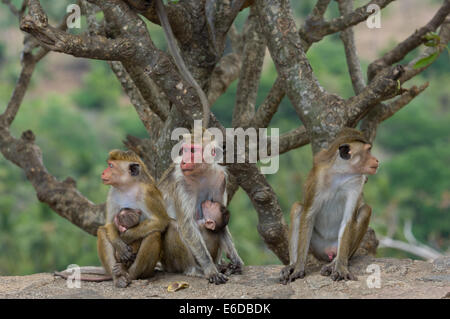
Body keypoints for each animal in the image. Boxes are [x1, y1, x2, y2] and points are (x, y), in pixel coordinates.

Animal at [97, 149, 170, 288]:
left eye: (111, 166)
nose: (103, 172)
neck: (128, 187)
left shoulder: (148, 194)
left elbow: (161, 221)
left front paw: (126, 236)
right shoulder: (112, 192)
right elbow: (109, 224)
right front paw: (119, 243)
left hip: (148, 270)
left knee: (153, 234)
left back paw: (130, 274)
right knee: (102, 231)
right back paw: (118, 277)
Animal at [157, 132, 243, 284]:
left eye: (192, 151)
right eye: (184, 150)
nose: (184, 161)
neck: (200, 173)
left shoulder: (220, 179)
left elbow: (222, 224)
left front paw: (236, 260)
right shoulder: (180, 182)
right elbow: (187, 224)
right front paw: (210, 270)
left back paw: (219, 265)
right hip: (169, 262)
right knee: (173, 225)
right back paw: (193, 269)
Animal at [282, 129, 380, 284]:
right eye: (368, 150)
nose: (376, 160)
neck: (341, 174)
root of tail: (327, 251)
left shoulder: (357, 182)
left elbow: (348, 220)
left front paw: (341, 268)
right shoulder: (317, 179)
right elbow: (308, 214)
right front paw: (298, 268)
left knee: (365, 210)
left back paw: (333, 264)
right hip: (316, 246)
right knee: (297, 208)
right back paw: (292, 264)